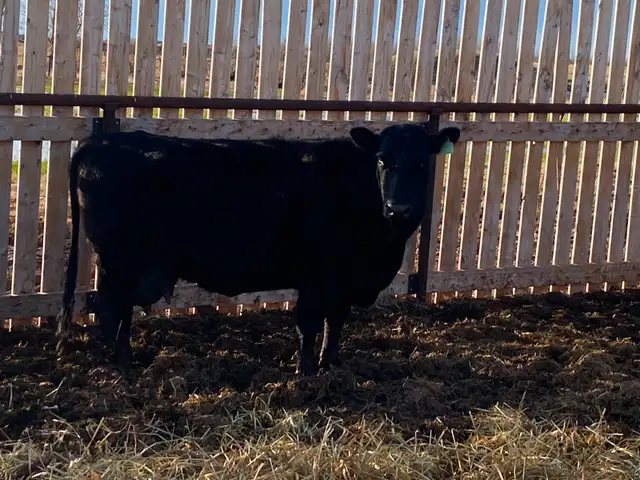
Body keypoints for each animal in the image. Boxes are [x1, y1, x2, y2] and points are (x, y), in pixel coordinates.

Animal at [56, 123, 461, 377]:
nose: (399, 208)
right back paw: (126, 367)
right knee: (111, 310)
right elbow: (309, 323)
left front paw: (332, 364)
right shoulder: (317, 275)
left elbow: (335, 322)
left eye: (421, 161)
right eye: (382, 160)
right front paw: (306, 372)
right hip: (118, 261)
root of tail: (102, 142)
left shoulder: (343, 281)